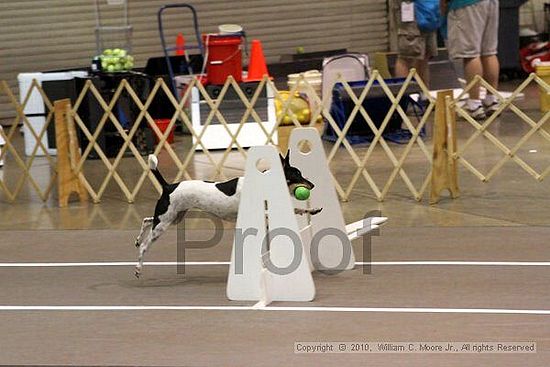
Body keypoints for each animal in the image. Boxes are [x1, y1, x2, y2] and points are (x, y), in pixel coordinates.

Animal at [134, 152, 322, 278]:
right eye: (296, 175)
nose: (312, 185)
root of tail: (168, 186)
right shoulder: (263, 213)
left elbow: (297, 210)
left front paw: (313, 210)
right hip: (164, 223)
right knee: (145, 245)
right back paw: (138, 267)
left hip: (173, 217)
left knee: (147, 220)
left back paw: (137, 239)